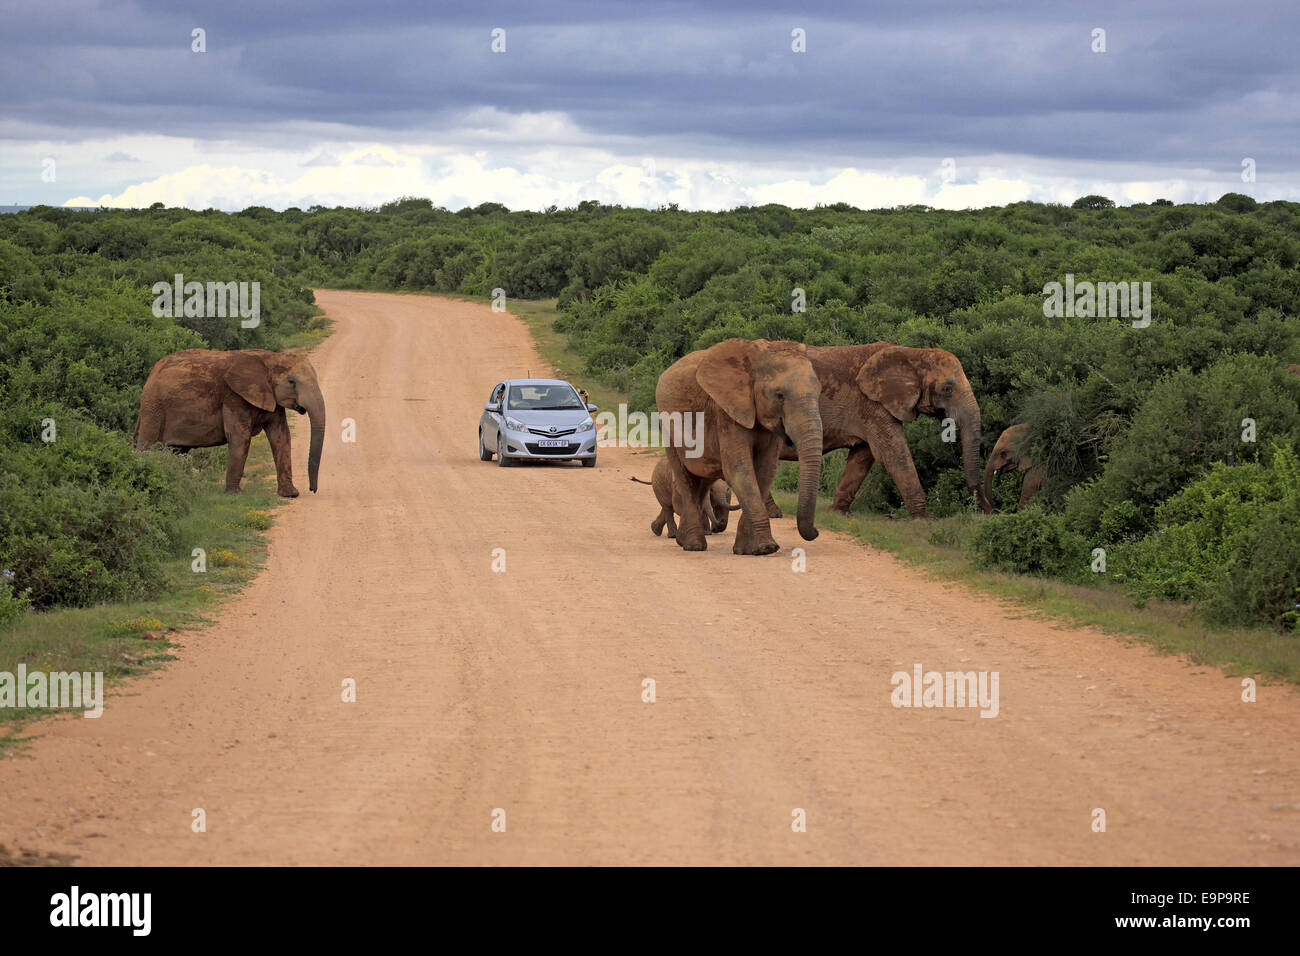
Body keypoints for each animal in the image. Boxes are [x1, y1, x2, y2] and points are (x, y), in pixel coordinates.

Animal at [133, 351, 325, 502]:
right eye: (291, 381)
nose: (312, 489)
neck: (269, 358)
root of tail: (151, 374)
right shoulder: (234, 398)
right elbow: (241, 438)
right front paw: (235, 494)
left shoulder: (272, 399)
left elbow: (281, 436)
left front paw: (290, 494)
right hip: (153, 407)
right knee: (148, 446)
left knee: (177, 450)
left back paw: (183, 485)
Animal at [650, 340, 821, 556]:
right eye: (780, 395)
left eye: (819, 393)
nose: (816, 532)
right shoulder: (726, 412)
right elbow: (740, 471)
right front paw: (767, 548)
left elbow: (765, 472)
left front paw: (745, 550)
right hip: (668, 428)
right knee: (686, 481)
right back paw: (694, 546)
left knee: (702, 484)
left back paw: (683, 541)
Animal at [759, 343, 987, 520]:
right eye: (947, 389)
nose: (988, 510)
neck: (913, 354)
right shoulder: (873, 404)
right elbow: (894, 455)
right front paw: (926, 519)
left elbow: (862, 457)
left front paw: (839, 514)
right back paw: (773, 514)